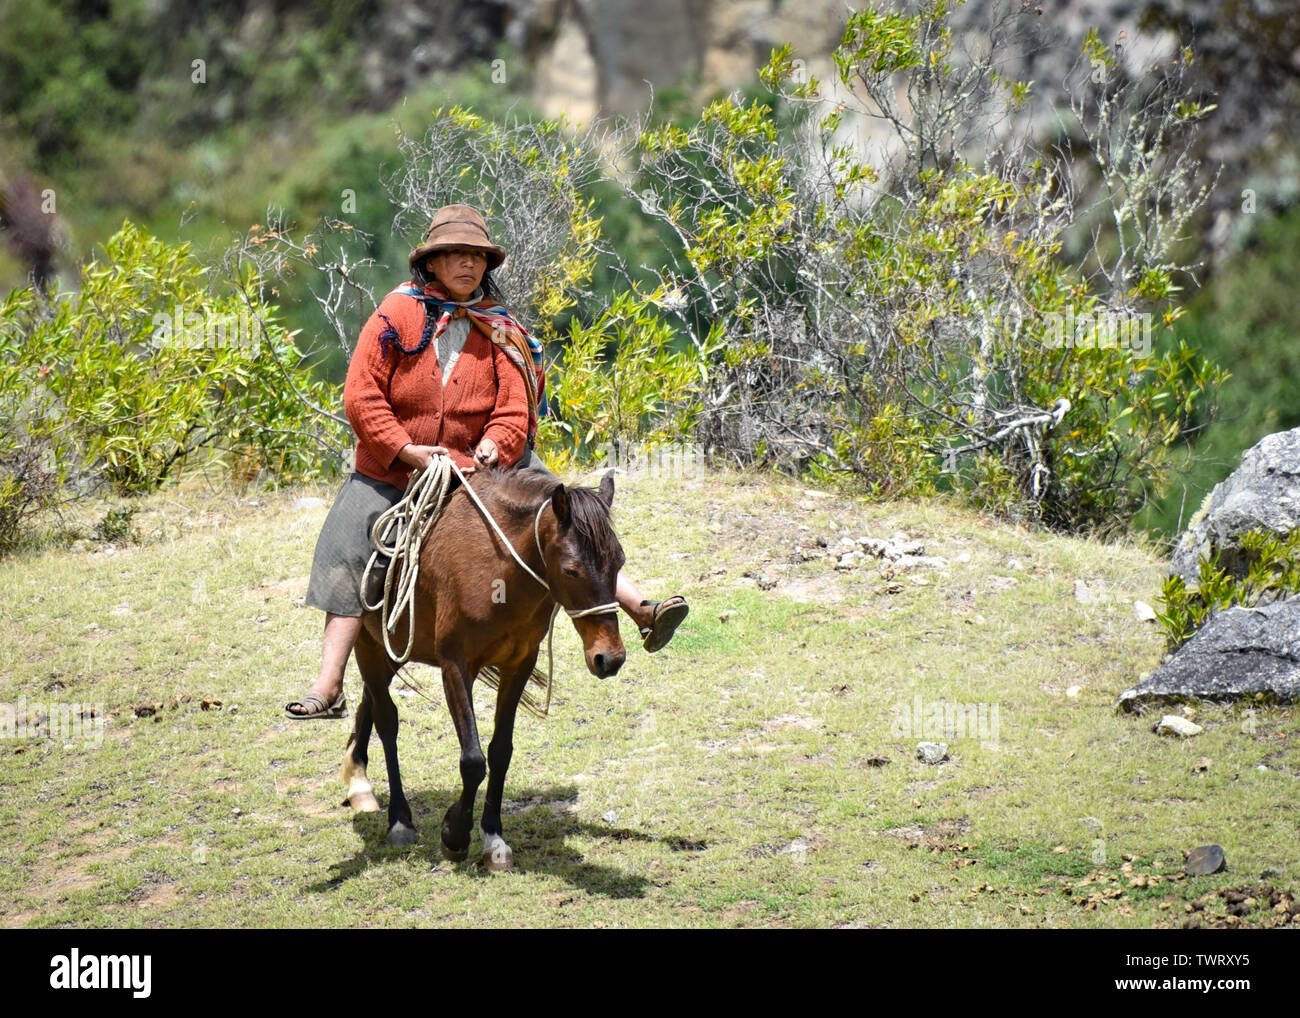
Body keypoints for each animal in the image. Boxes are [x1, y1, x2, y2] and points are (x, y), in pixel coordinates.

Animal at [338, 465, 621, 873]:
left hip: (391, 652)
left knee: (369, 705)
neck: (498, 567)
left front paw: (493, 837)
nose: (610, 657)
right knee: (387, 720)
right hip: (369, 646)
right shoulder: (455, 666)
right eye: (571, 570)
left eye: (619, 562)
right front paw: (454, 835)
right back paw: (399, 820)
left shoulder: (519, 665)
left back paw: (358, 778)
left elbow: (501, 751)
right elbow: (473, 760)